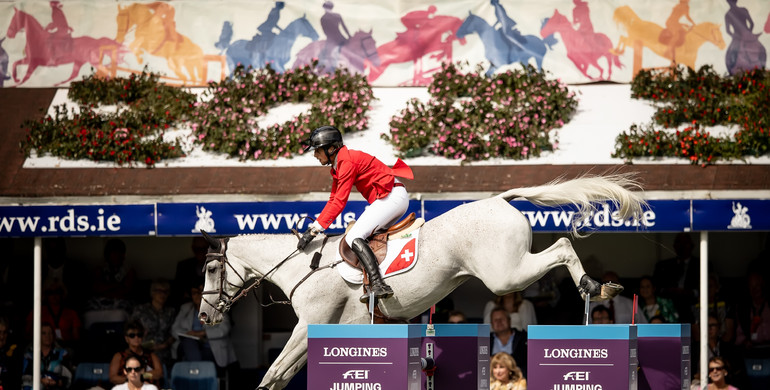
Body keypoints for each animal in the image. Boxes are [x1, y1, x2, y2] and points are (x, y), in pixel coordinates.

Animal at [196, 174, 640, 390]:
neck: (305, 266)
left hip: (504, 274)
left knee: (562, 244)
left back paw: (594, 286)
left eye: (212, 270)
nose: (203, 317)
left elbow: (271, 374)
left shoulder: (307, 326)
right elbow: (281, 376)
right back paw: (595, 286)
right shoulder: (320, 332)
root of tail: (500, 200)